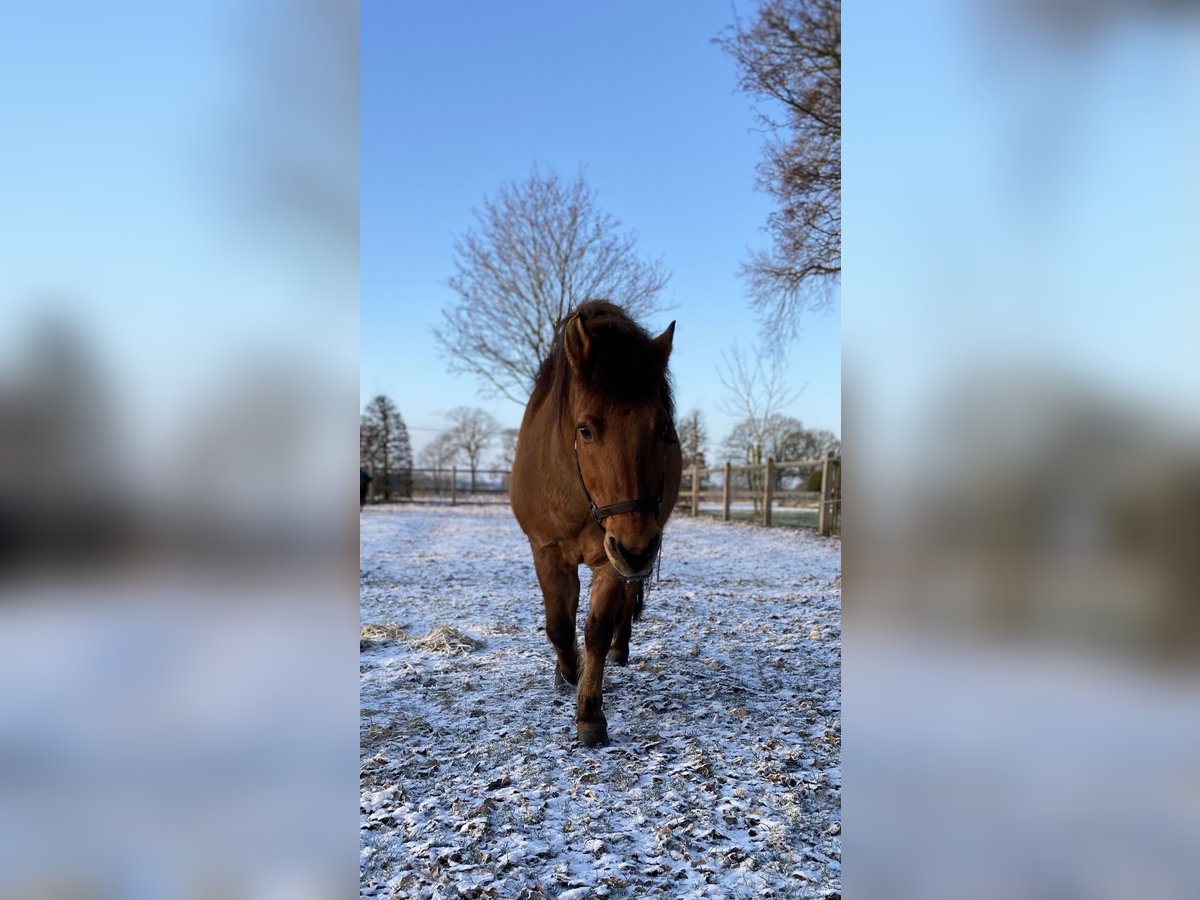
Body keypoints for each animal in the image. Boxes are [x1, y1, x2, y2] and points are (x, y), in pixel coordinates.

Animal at [508, 303, 686, 748]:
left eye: (662, 427)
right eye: (585, 429)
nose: (635, 548)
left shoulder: (610, 560)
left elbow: (596, 631)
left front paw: (589, 713)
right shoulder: (547, 552)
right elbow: (559, 624)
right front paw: (566, 673)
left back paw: (621, 650)